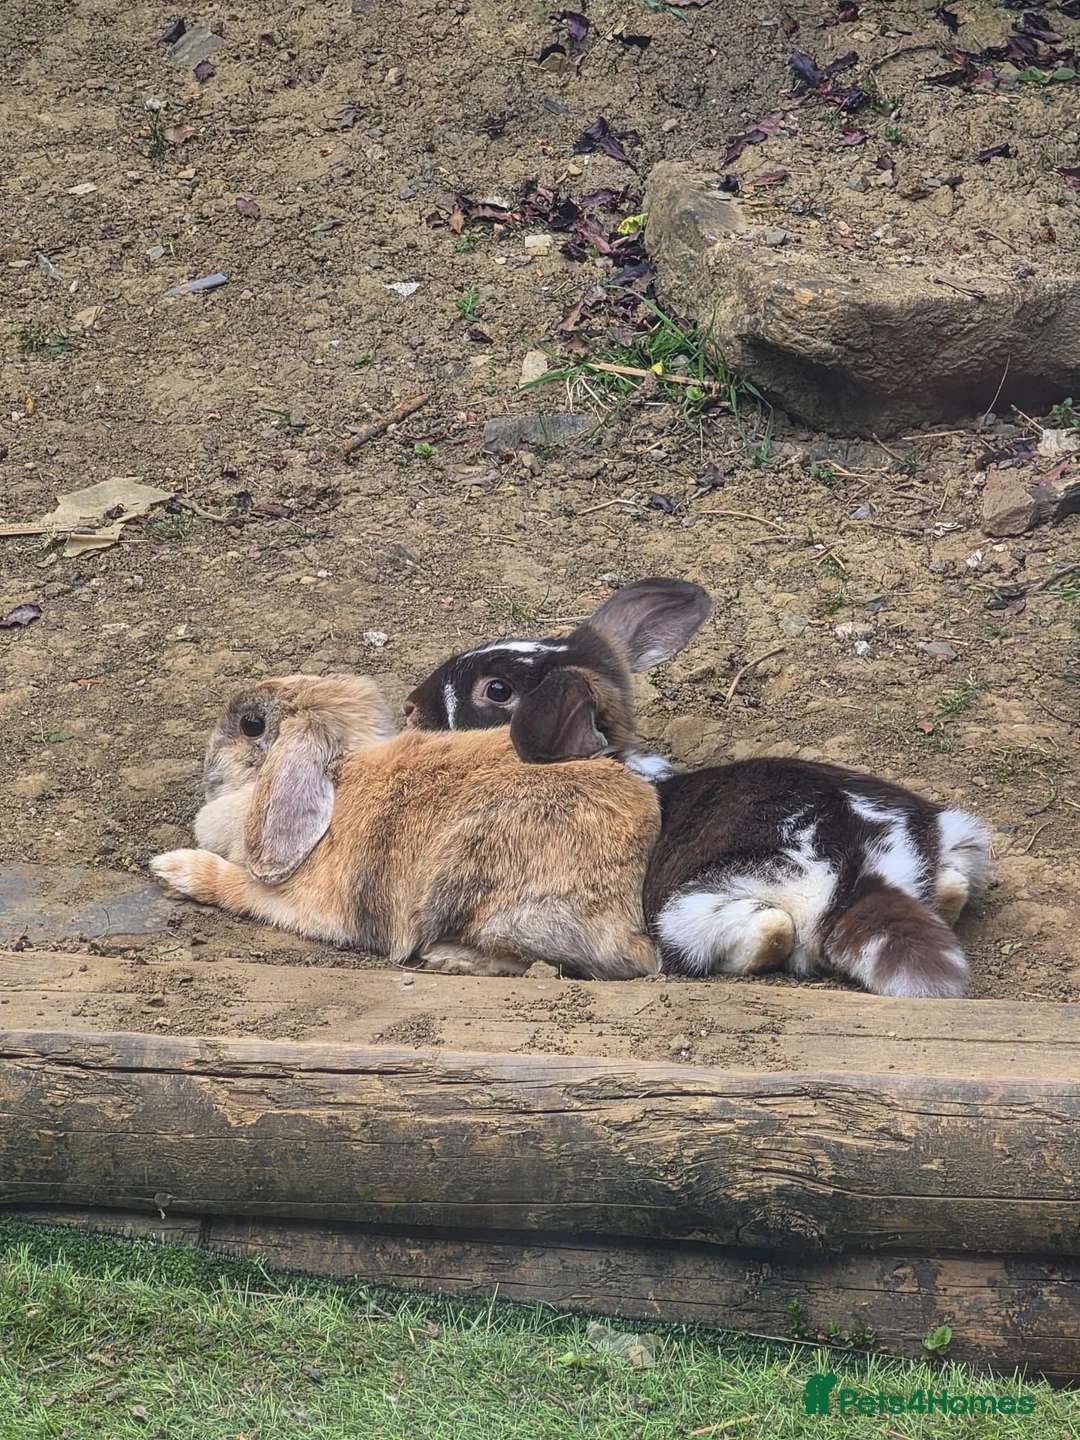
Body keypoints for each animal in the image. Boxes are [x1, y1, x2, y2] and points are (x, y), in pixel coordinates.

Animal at [150, 672, 661, 980]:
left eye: (252, 725)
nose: (208, 761)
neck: (336, 775)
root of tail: (634, 927)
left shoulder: (298, 902)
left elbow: (237, 888)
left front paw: (172, 870)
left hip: (466, 872)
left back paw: (446, 957)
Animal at [404, 579, 991, 998]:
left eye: (497, 690)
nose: (412, 704)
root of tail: (865, 865)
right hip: (961, 832)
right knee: (954, 886)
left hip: (692, 909)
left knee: (769, 931)